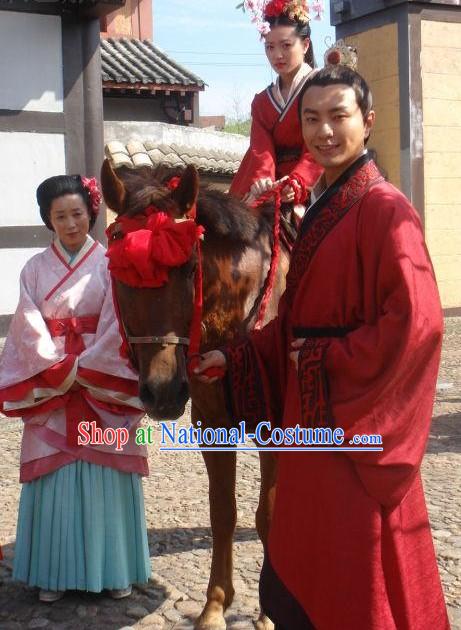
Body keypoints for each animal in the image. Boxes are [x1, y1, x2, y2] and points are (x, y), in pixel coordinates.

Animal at [100, 159, 290, 630]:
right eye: (118, 272)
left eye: (189, 268)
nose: (163, 389)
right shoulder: (211, 422)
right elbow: (223, 513)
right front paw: (216, 605)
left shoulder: (276, 425)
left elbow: (268, 515)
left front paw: (268, 611)